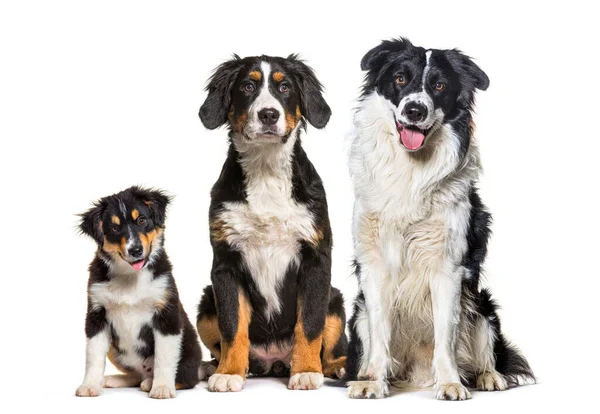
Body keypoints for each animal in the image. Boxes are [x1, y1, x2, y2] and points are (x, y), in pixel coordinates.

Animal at [74, 187, 202, 398]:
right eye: (115, 228)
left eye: (142, 220)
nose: (135, 250)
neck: (130, 277)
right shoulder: (96, 315)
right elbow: (93, 356)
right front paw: (89, 386)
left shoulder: (166, 315)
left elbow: (164, 358)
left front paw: (162, 388)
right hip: (114, 349)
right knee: (135, 375)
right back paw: (116, 379)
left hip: (188, 350)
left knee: (186, 378)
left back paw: (151, 383)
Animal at [196, 54, 346, 392]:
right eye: (248, 86)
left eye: (285, 87)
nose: (268, 114)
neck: (265, 170)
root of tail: (272, 360)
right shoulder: (226, 263)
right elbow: (232, 326)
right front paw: (228, 373)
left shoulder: (316, 258)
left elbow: (310, 324)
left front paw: (306, 371)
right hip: (206, 302)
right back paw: (210, 367)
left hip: (335, 299)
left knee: (330, 349)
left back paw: (338, 367)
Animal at [342, 38, 536, 398]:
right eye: (400, 79)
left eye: (440, 86)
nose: (414, 110)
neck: (411, 168)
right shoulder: (373, 265)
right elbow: (379, 333)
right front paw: (372, 381)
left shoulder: (448, 267)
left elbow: (446, 335)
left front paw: (449, 383)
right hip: (358, 313)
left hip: (482, 305)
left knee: (485, 349)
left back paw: (488, 377)